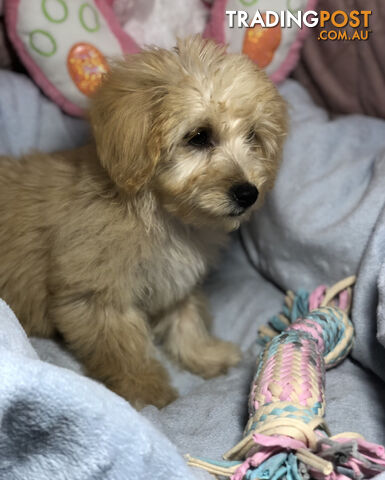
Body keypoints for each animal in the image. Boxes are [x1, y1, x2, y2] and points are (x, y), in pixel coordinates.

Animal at [0, 36, 286, 408]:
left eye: (252, 136)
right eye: (199, 136)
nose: (248, 193)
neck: (159, 215)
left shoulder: (176, 281)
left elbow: (186, 319)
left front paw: (205, 355)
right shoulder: (98, 298)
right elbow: (124, 350)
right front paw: (147, 393)